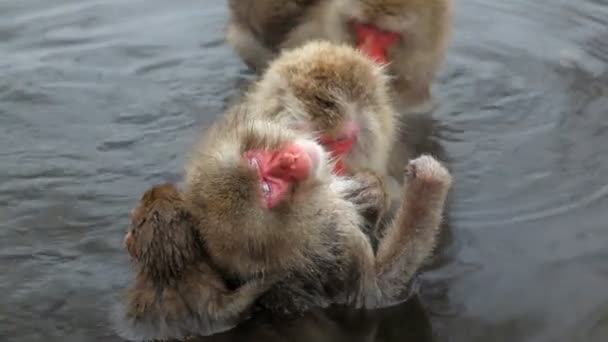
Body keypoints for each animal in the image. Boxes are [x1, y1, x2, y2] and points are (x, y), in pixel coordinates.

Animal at [182, 107, 452, 318]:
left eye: (255, 161)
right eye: (267, 189)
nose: (289, 161)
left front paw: (370, 191)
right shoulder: (345, 252)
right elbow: (382, 294)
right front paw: (428, 181)